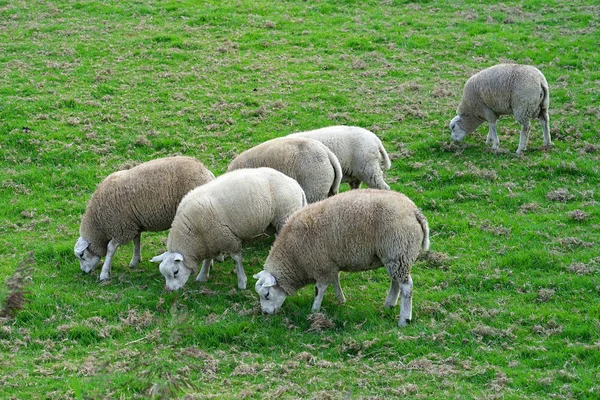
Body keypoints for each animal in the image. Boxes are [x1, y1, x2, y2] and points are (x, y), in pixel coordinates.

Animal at [74, 155, 216, 282]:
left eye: (81, 255)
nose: (84, 272)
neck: (98, 223)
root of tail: (206, 172)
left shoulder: (122, 228)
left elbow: (110, 248)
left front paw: (104, 273)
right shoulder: (133, 224)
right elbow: (137, 241)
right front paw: (135, 260)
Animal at [152, 168, 308, 290]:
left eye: (175, 272)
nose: (170, 290)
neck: (193, 233)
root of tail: (296, 185)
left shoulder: (229, 237)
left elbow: (236, 259)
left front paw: (242, 282)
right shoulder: (210, 240)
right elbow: (208, 259)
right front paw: (203, 275)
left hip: (285, 216)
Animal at [252, 189, 426, 326]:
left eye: (267, 295)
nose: (265, 314)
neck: (293, 258)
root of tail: (414, 211)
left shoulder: (320, 265)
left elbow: (319, 289)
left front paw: (314, 310)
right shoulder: (330, 264)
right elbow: (335, 280)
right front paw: (341, 300)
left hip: (399, 250)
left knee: (406, 287)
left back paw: (404, 319)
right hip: (394, 256)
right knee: (396, 281)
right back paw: (389, 304)